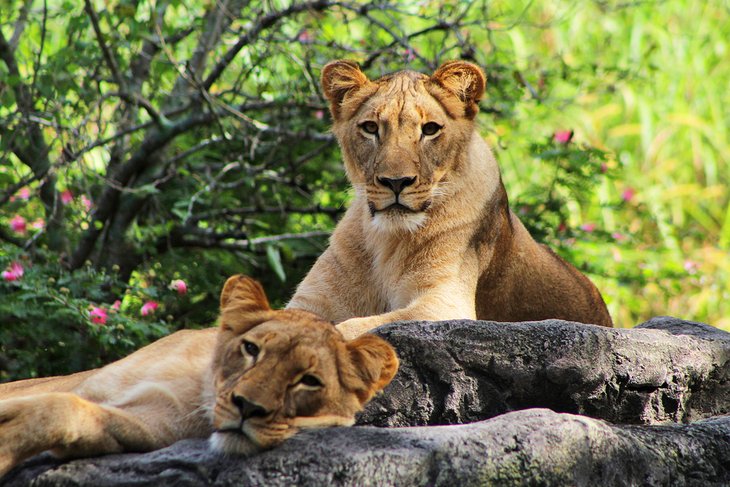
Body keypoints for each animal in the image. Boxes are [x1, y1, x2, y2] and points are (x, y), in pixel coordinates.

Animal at [0, 276, 398, 478]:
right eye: (251, 349)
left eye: (309, 381)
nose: (248, 407)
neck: (198, 387)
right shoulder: (81, 383)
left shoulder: (144, 426)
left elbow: (64, 412)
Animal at [288, 59, 612, 340]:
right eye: (370, 128)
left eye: (430, 129)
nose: (396, 182)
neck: (387, 238)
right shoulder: (310, 301)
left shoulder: (444, 304)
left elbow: (350, 327)